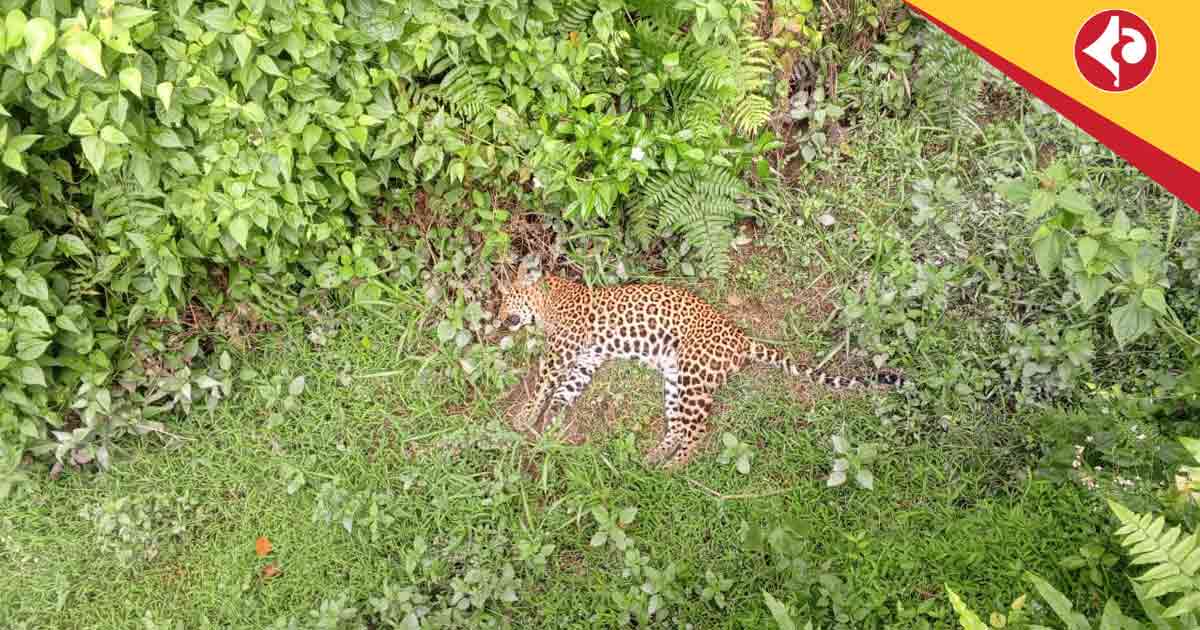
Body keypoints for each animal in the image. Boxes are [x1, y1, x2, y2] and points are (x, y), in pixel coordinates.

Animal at [496, 271, 904, 468]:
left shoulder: (561, 353)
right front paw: (549, 426)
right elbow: (563, 393)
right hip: (675, 376)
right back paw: (654, 459)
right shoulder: (584, 361)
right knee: (679, 426)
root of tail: (741, 337)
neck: (548, 300)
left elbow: (543, 384)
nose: (498, 318)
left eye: (505, 299)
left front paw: (525, 418)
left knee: (698, 430)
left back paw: (673, 468)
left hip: (694, 373)